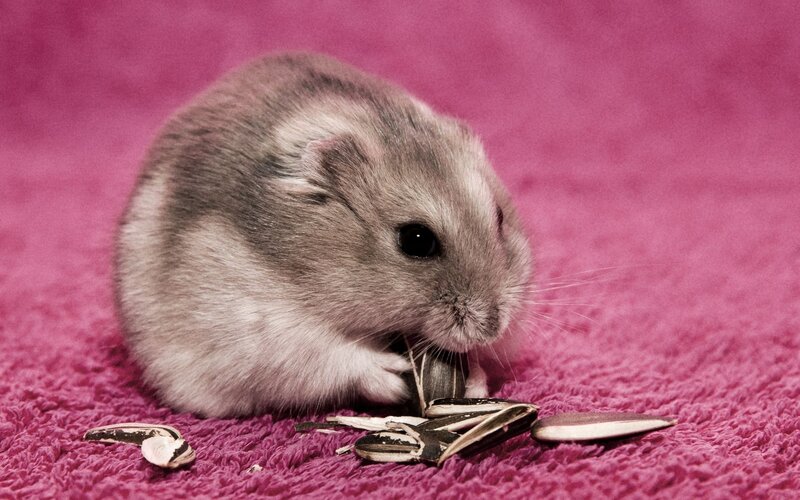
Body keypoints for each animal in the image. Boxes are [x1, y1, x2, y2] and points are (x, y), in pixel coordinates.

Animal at [115, 52, 532, 417]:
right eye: (416, 240)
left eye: (499, 217)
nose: (492, 328)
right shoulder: (265, 334)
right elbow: (336, 357)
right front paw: (393, 375)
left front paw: (475, 381)